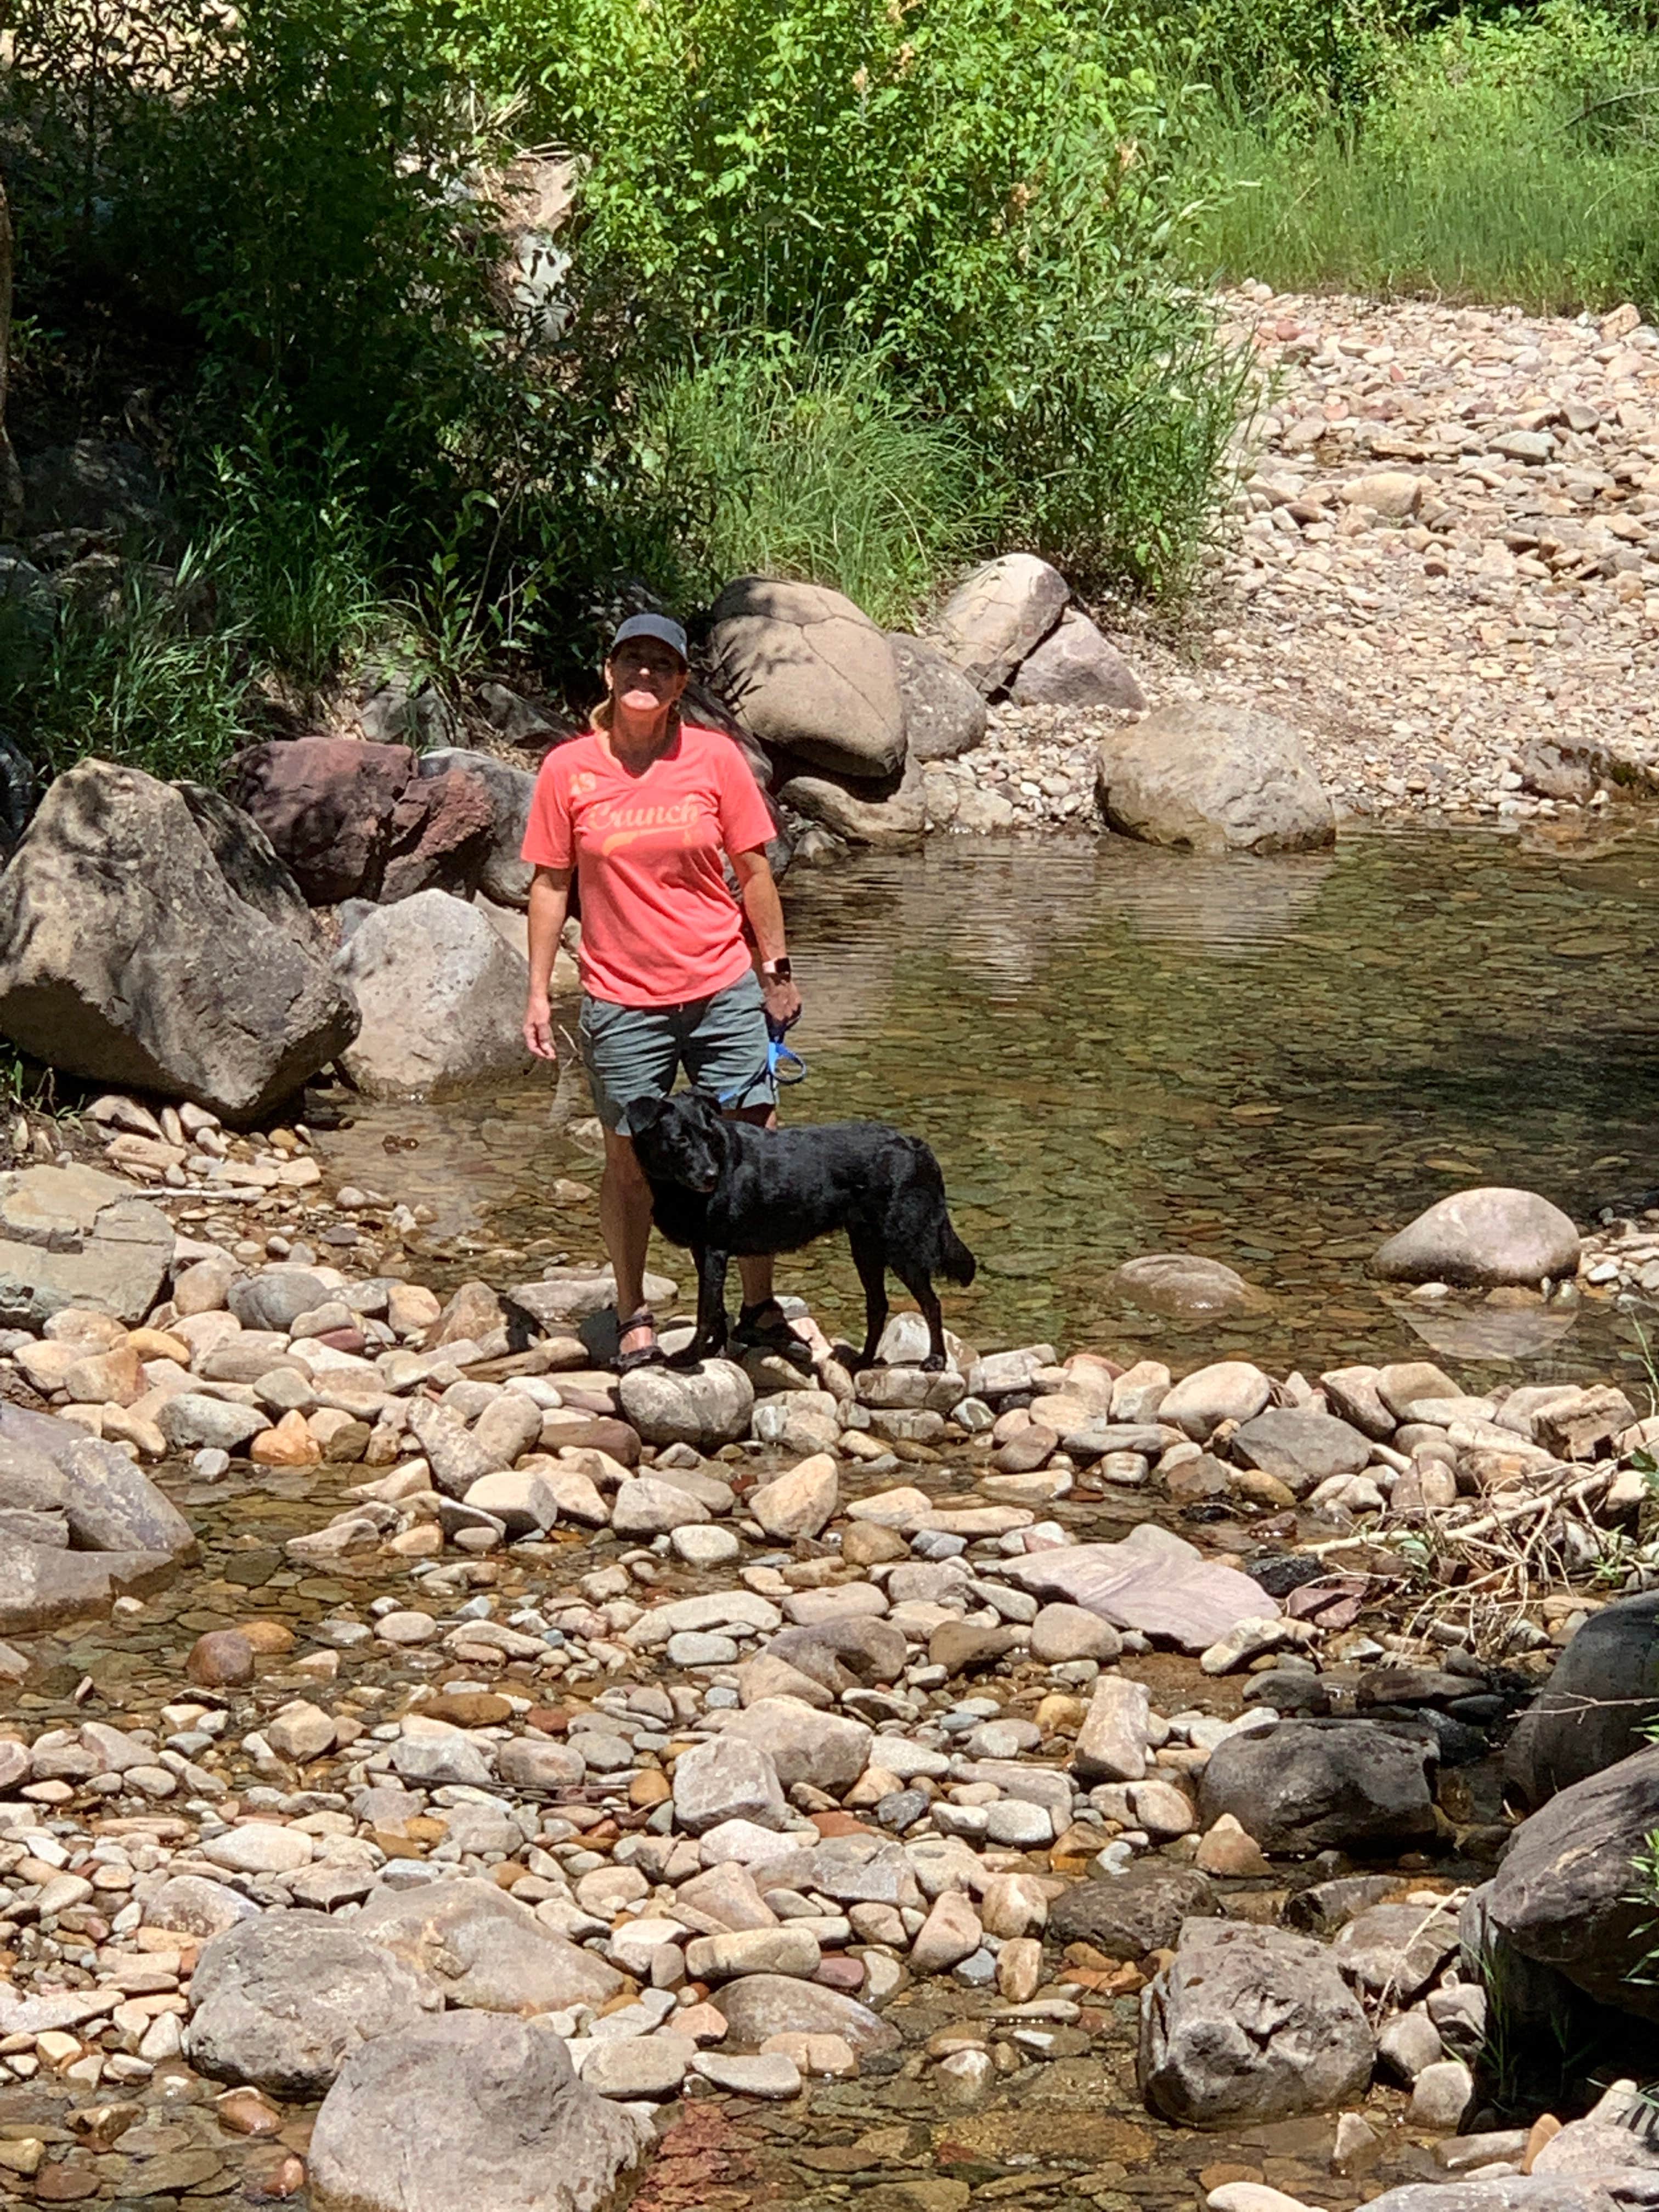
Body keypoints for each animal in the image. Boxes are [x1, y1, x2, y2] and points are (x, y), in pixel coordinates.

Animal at [633, 1088, 973, 1362]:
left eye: (709, 1137)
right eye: (680, 1139)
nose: (711, 1176)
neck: (674, 1186)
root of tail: (918, 1146)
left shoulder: (714, 1251)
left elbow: (706, 1312)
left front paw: (691, 1356)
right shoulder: (703, 1252)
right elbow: (716, 1310)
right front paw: (713, 1350)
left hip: (903, 1248)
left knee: (932, 1304)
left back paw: (936, 1360)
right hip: (866, 1249)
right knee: (879, 1305)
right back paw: (863, 1361)